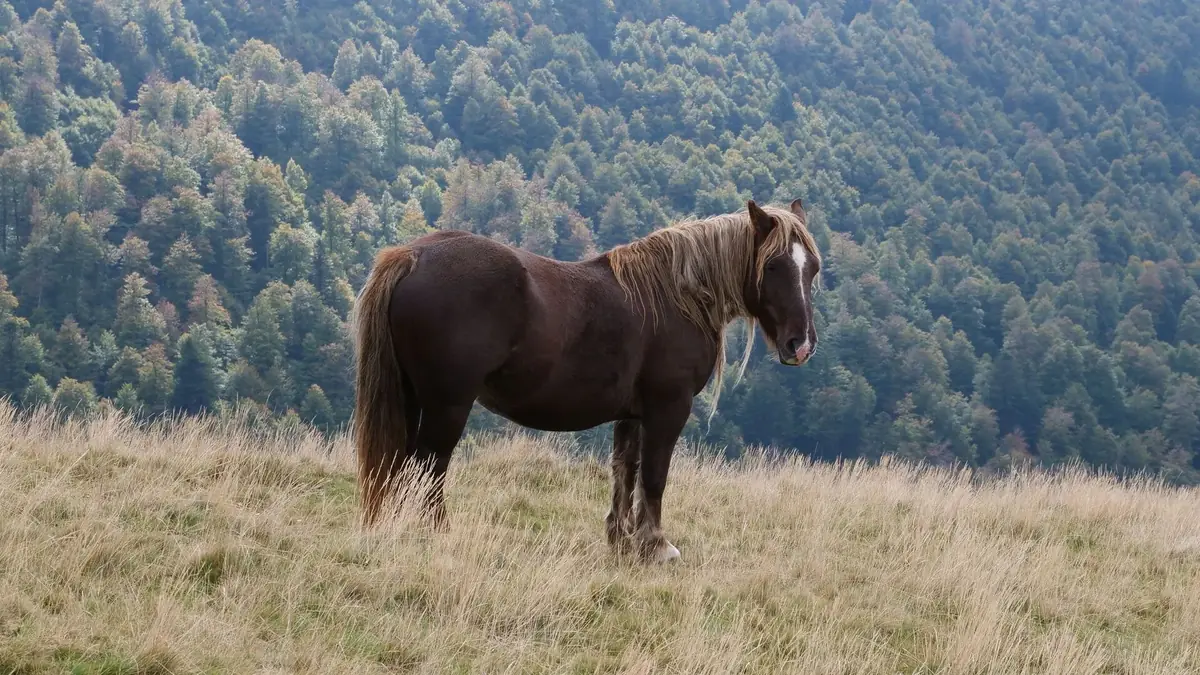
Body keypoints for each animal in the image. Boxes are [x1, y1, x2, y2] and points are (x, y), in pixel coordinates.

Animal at [351, 199, 822, 563]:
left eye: (813, 268)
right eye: (774, 265)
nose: (800, 344)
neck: (677, 295)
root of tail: (414, 255)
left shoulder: (632, 415)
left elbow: (625, 472)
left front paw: (622, 541)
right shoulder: (668, 408)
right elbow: (654, 476)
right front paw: (657, 546)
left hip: (414, 397)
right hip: (448, 405)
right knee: (429, 466)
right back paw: (435, 532)